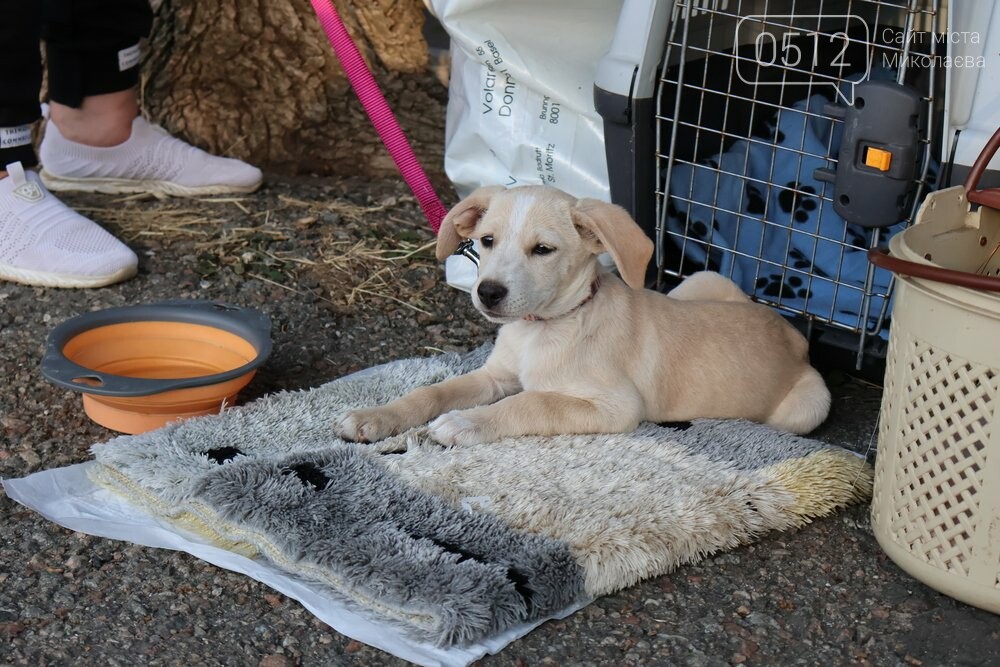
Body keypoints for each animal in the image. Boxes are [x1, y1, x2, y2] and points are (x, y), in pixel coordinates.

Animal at [334, 185, 828, 446]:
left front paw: (466, 423)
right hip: (702, 281)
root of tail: (793, 335)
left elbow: (532, 402)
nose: (487, 293)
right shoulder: (494, 376)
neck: (544, 328)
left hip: (809, 406)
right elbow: (434, 390)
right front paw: (376, 416)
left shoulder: (615, 406)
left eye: (543, 250)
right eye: (488, 240)